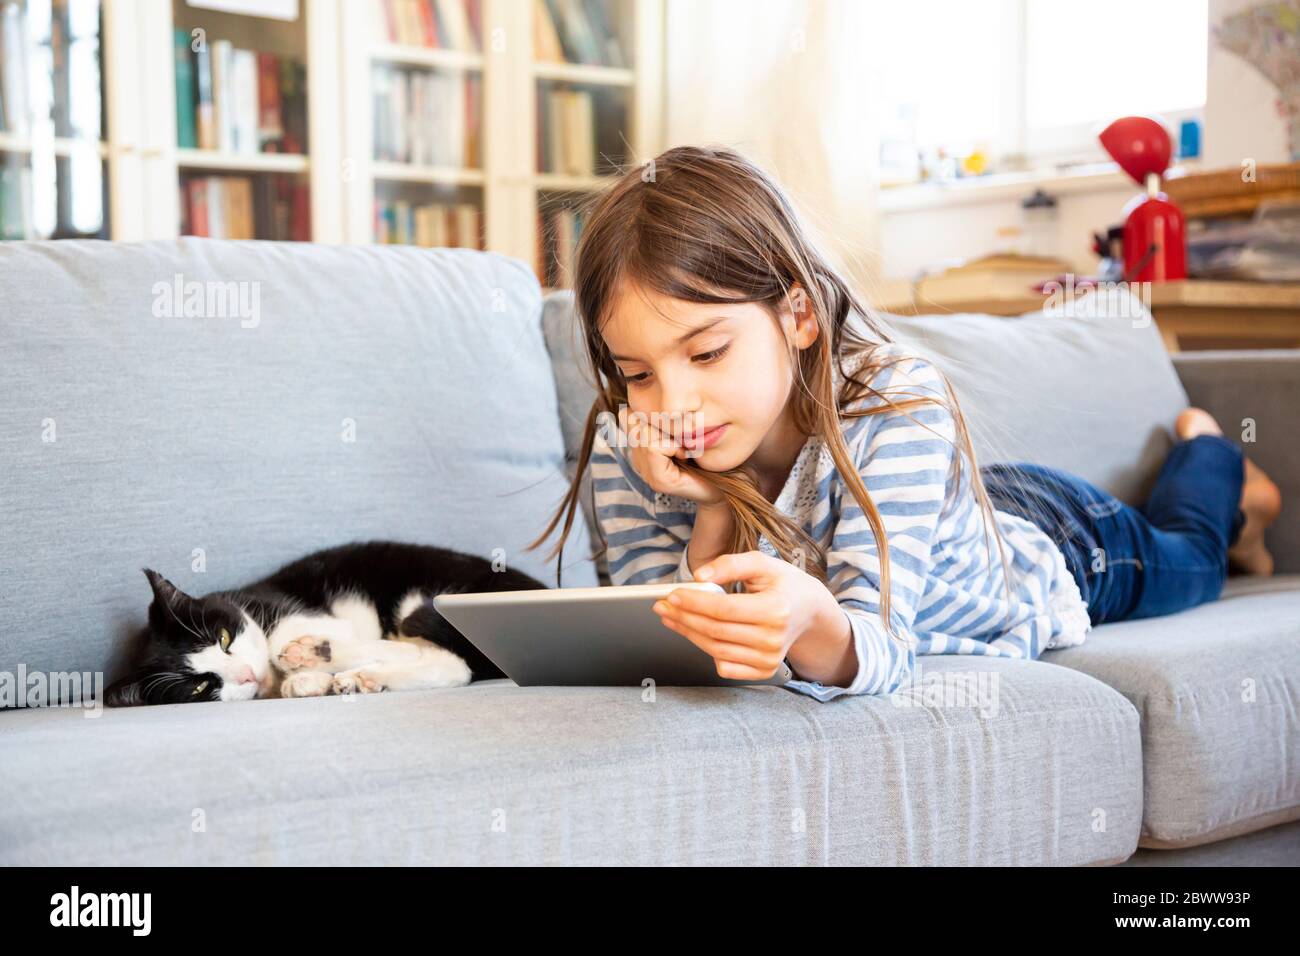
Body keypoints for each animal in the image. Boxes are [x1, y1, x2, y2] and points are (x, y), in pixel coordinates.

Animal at [104, 541, 546, 707]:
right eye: (199, 687)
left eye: (224, 638)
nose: (246, 675)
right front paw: (309, 681)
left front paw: (308, 666)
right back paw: (360, 678)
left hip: (426, 602)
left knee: (450, 661)